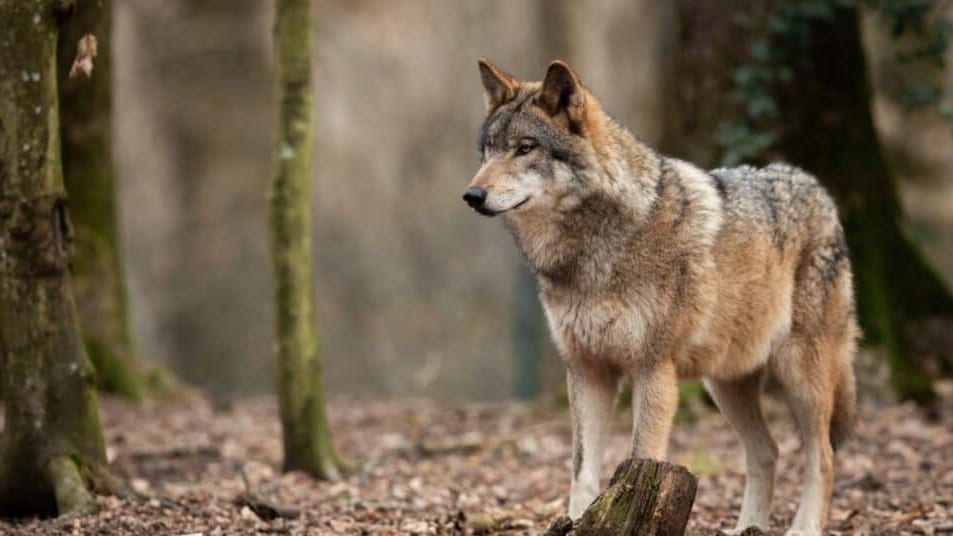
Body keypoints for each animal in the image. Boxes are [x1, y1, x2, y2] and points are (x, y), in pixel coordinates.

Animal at [463, 59, 858, 535]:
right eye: (488, 150)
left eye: (525, 149)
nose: (472, 195)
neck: (593, 252)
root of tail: (817, 187)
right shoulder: (587, 370)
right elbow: (582, 470)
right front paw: (577, 521)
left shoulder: (653, 370)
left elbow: (638, 459)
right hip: (725, 384)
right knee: (768, 450)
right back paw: (747, 527)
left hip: (802, 377)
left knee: (825, 457)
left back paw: (803, 527)